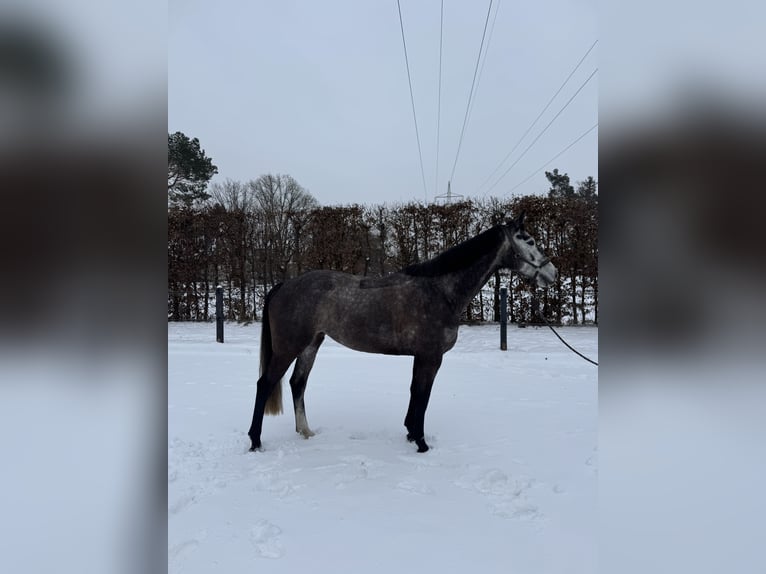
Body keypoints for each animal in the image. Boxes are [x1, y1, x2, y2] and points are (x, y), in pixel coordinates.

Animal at [247, 212, 558, 453]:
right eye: (529, 240)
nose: (552, 273)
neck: (439, 291)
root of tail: (284, 285)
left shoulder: (421, 356)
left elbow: (415, 392)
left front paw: (410, 434)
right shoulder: (431, 357)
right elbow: (423, 394)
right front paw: (421, 442)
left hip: (311, 344)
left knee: (297, 383)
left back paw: (306, 432)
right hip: (289, 347)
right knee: (265, 384)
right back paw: (255, 441)